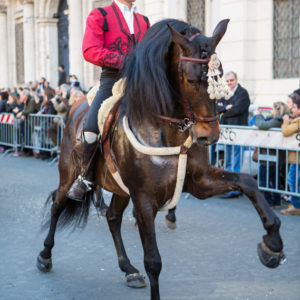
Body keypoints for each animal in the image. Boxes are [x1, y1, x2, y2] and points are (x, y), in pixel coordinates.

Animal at [36, 18, 284, 300]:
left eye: (220, 78)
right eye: (190, 79)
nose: (208, 135)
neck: (165, 129)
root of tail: (75, 107)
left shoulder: (199, 182)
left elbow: (248, 182)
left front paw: (273, 243)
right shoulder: (144, 198)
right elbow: (153, 261)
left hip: (119, 188)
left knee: (112, 218)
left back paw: (128, 269)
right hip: (69, 175)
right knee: (57, 204)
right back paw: (44, 255)